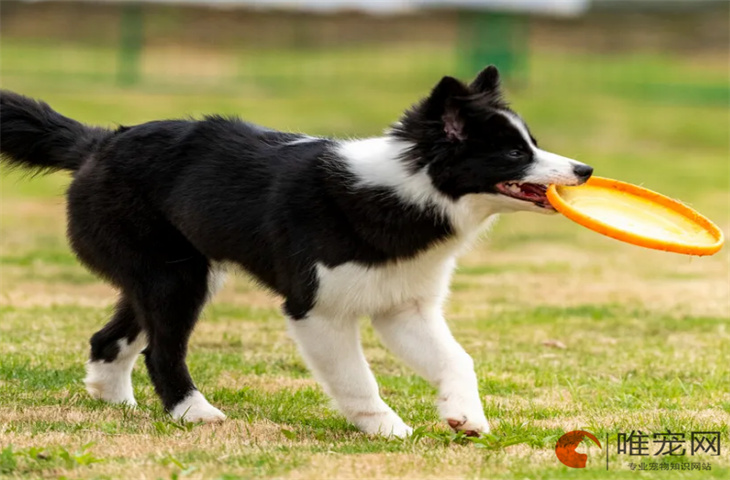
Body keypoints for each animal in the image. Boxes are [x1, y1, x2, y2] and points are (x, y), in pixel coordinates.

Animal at [0, 67, 592, 438]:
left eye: (531, 141)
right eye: (513, 152)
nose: (585, 170)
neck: (406, 190)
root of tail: (98, 143)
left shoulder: (404, 307)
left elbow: (456, 359)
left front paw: (465, 417)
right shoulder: (317, 309)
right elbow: (356, 377)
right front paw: (387, 429)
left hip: (177, 271)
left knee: (110, 337)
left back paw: (116, 401)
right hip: (174, 277)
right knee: (160, 351)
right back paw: (194, 413)